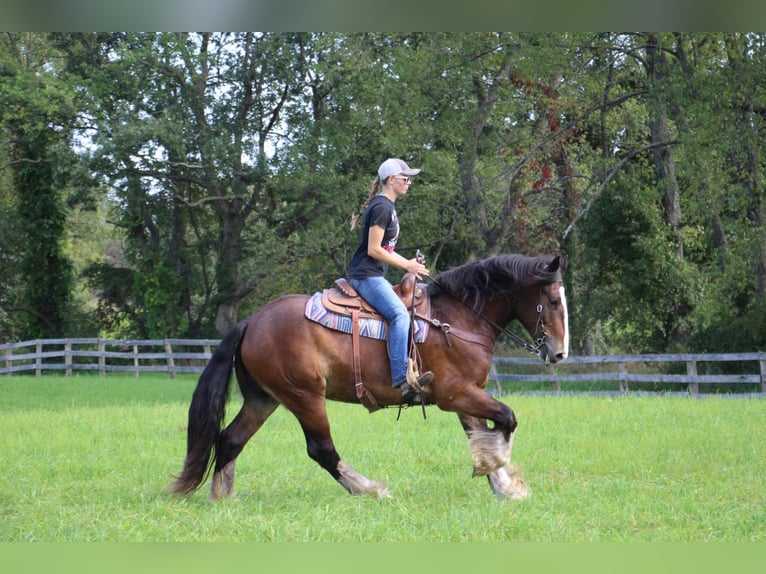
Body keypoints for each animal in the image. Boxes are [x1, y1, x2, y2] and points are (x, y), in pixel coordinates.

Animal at [170, 254, 568, 502]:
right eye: (552, 300)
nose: (560, 353)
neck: (457, 318)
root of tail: (252, 321)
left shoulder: (467, 395)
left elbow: (482, 434)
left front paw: (502, 485)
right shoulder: (454, 394)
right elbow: (506, 420)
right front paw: (500, 470)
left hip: (263, 399)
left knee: (230, 440)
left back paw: (223, 497)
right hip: (303, 396)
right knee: (321, 449)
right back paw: (370, 490)